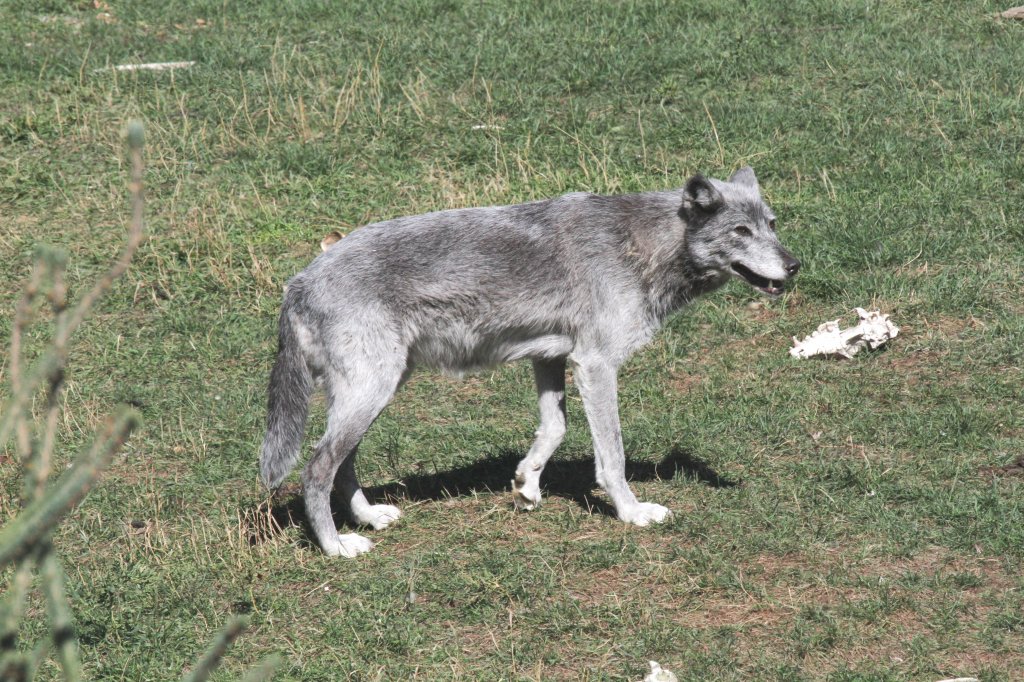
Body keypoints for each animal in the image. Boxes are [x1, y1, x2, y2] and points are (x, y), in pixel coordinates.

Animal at [258, 166, 798, 557]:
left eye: (771, 226)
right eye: (741, 231)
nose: (795, 266)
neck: (641, 244)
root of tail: (298, 281)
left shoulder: (550, 357)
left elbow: (553, 429)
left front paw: (526, 486)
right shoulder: (596, 365)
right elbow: (613, 458)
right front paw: (632, 513)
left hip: (373, 394)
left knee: (342, 463)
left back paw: (369, 518)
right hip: (371, 393)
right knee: (316, 469)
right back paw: (337, 546)